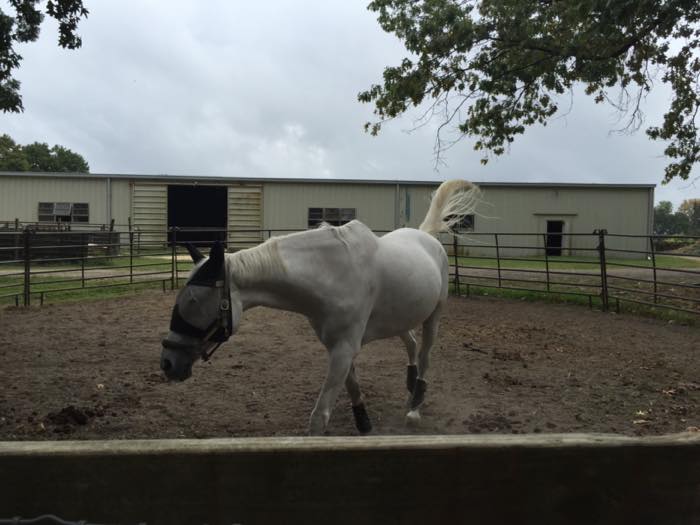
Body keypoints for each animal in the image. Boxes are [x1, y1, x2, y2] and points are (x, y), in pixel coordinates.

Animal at [160, 179, 481, 435]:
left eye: (194, 302)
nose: (167, 363)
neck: (332, 273)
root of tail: (426, 237)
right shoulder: (337, 345)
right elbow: (352, 385)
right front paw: (364, 422)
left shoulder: (344, 348)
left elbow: (319, 416)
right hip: (400, 317)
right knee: (411, 344)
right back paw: (410, 386)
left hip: (433, 317)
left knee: (425, 355)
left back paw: (415, 406)